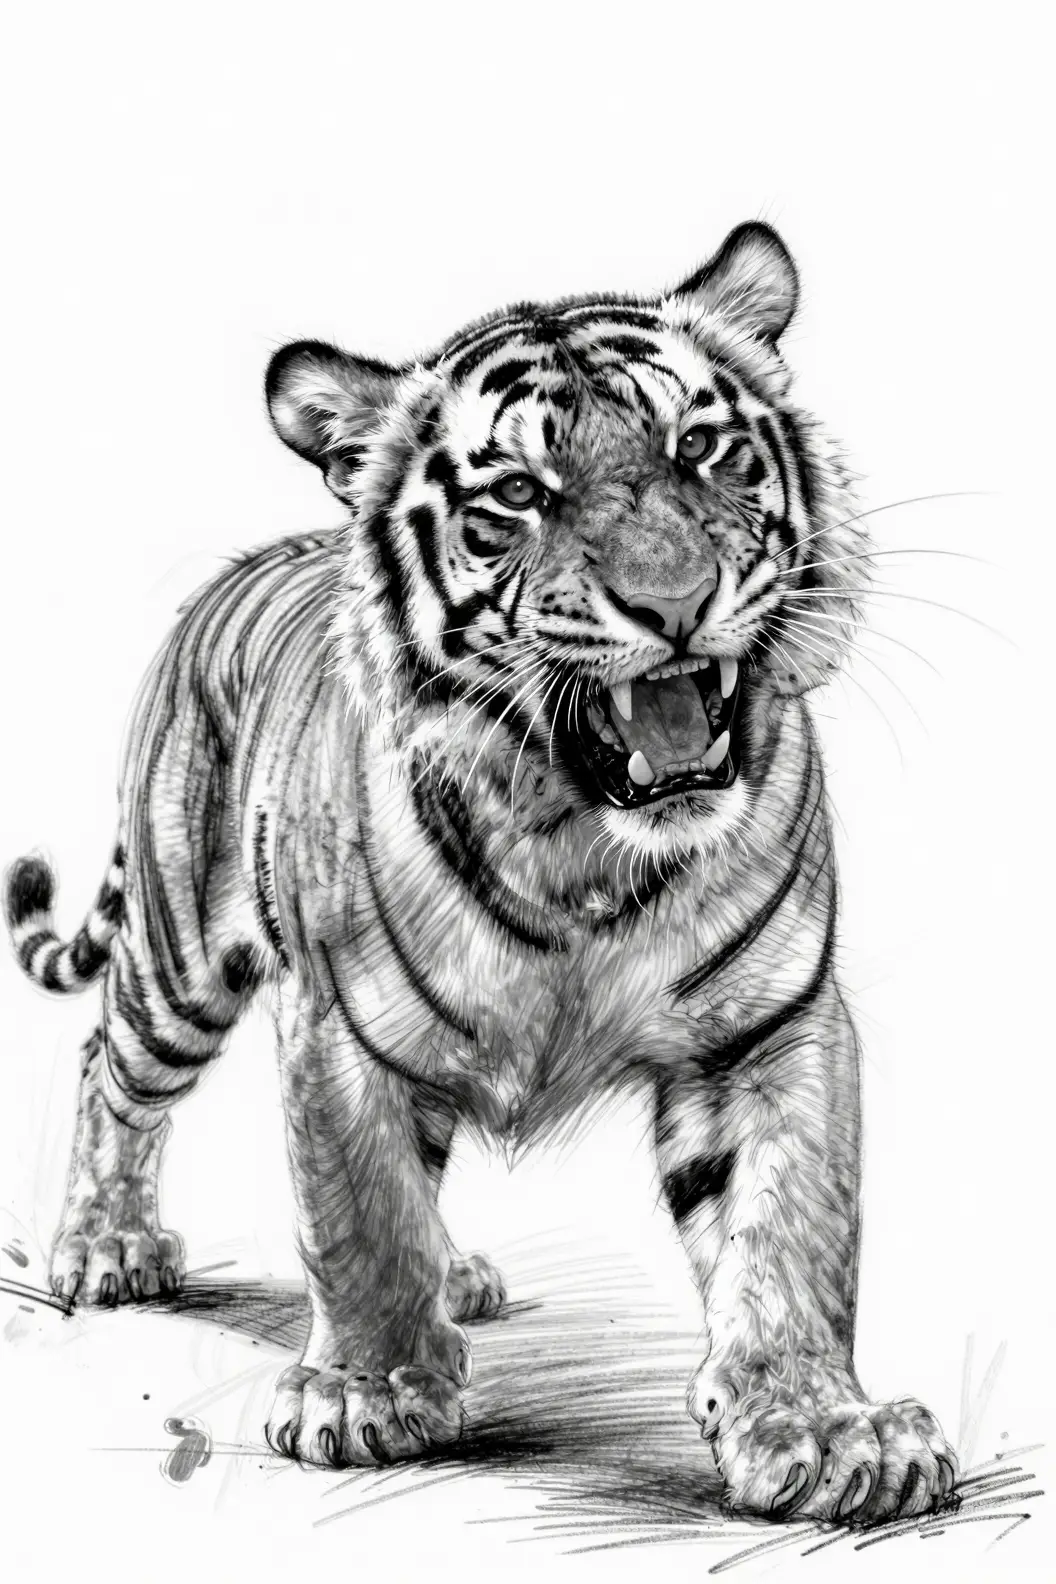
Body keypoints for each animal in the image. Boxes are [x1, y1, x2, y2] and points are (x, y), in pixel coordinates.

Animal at [5, 222, 959, 1524]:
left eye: (700, 449)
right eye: (518, 494)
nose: (674, 603)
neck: (582, 845)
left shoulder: (771, 1028)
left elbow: (789, 1234)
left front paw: (821, 1429)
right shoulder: (340, 1031)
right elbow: (357, 1212)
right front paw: (368, 1393)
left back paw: (456, 1276)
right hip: (178, 955)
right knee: (111, 1060)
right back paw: (106, 1247)